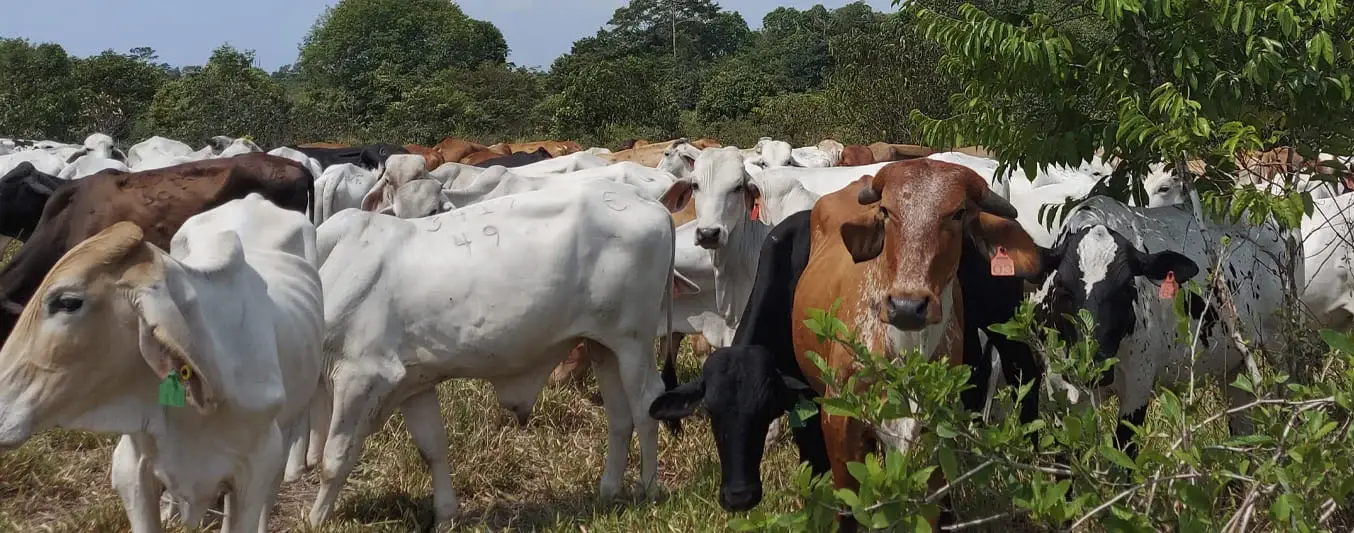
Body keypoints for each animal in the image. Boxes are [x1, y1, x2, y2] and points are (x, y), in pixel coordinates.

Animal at [311, 178, 682, 527]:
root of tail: (649, 202)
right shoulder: (413, 382)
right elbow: (432, 448)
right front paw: (445, 515)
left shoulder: (362, 376)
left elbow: (336, 456)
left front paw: (315, 518)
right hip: (604, 346)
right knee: (619, 415)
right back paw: (608, 491)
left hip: (633, 341)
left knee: (646, 403)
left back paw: (648, 488)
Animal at [790, 158, 1039, 527]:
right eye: (886, 211)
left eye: (958, 213)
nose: (907, 306)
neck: (905, 348)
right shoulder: (839, 424)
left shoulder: (937, 433)